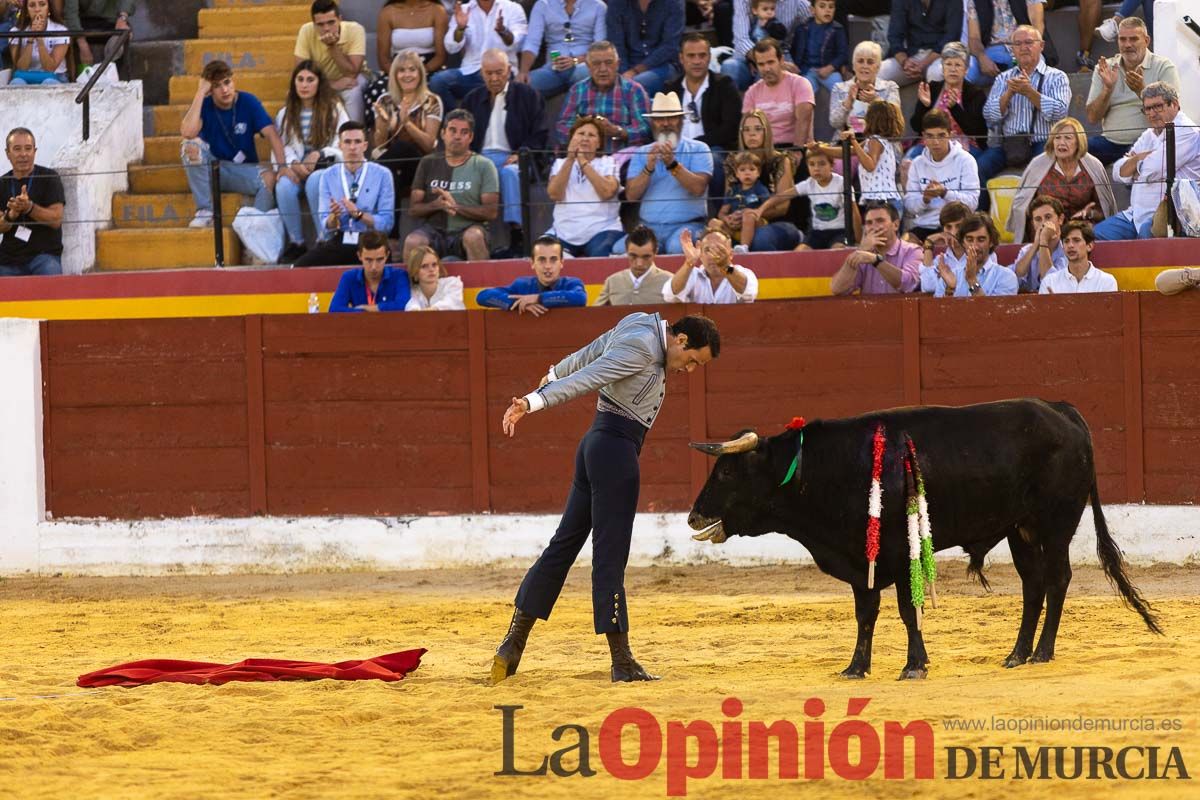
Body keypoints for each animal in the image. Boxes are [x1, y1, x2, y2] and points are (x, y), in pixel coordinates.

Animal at [686, 398, 1161, 681]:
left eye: (725, 471)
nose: (693, 516)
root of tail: (1061, 410)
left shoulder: (898, 553)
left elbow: (905, 611)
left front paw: (914, 665)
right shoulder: (861, 558)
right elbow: (865, 614)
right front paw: (856, 667)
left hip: (1056, 522)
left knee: (1058, 580)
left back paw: (1042, 652)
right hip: (1020, 530)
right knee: (1033, 586)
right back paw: (1017, 653)